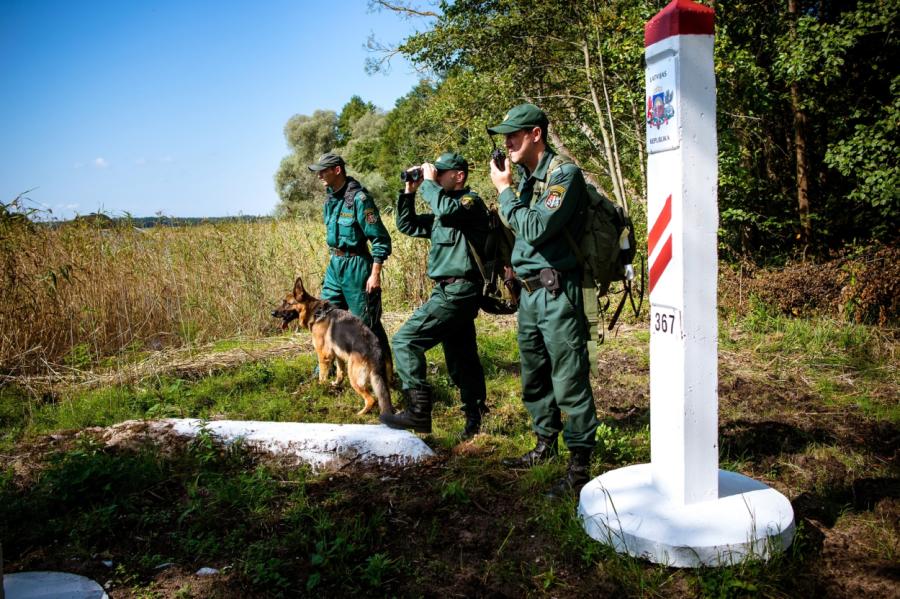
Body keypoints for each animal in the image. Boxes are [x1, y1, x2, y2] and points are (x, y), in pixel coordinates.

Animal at [268, 278, 392, 414]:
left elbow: (322, 376)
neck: (317, 313)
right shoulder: (337, 354)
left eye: (287, 303)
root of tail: (375, 350)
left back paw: (360, 413)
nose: (272, 313)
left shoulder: (323, 355)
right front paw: (336, 384)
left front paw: (320, 388)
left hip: (354, 376)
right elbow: (340, 372)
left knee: (371, 399)